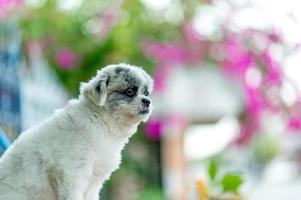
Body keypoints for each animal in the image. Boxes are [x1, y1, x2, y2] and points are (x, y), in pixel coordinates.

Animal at [0, 63, 152, 200]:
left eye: (146, 93)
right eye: (129, 92)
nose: (147, 101)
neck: (101, 123)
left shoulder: (93, 183)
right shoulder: (73, 176)